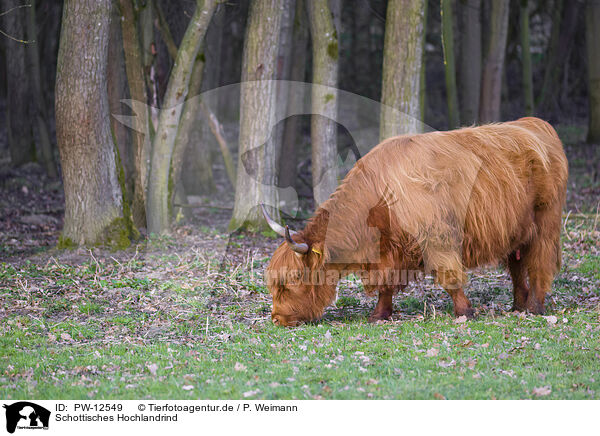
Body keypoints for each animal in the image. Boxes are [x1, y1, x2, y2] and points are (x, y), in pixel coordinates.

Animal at [262, 117, 568, 326]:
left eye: (292, 279)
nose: (277, 319)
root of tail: (535, 124)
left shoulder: (437, 237)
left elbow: (449, 277)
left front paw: (464, 312)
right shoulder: (388, 251)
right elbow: (386, 284)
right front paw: (379, 314)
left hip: (546, 222)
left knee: (540, 263)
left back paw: (535, 307)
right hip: (516, 230)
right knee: (517, 267)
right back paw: (518, 305)